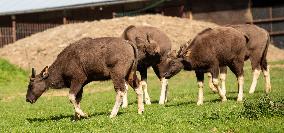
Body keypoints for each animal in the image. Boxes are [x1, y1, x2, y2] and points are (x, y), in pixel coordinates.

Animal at [25, 37, 159, 118]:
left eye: (31, 84)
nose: (27, 99)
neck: (63, 64)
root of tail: (129, 44)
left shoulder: (78, 80)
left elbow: (71, 97)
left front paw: (83, 114)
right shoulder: (81, 85)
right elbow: (77, 99)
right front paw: (76, 117)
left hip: (117, 75)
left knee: (121, 91)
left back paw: (112, 114)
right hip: (130, 74)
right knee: (138, 87)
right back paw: (140, 110)